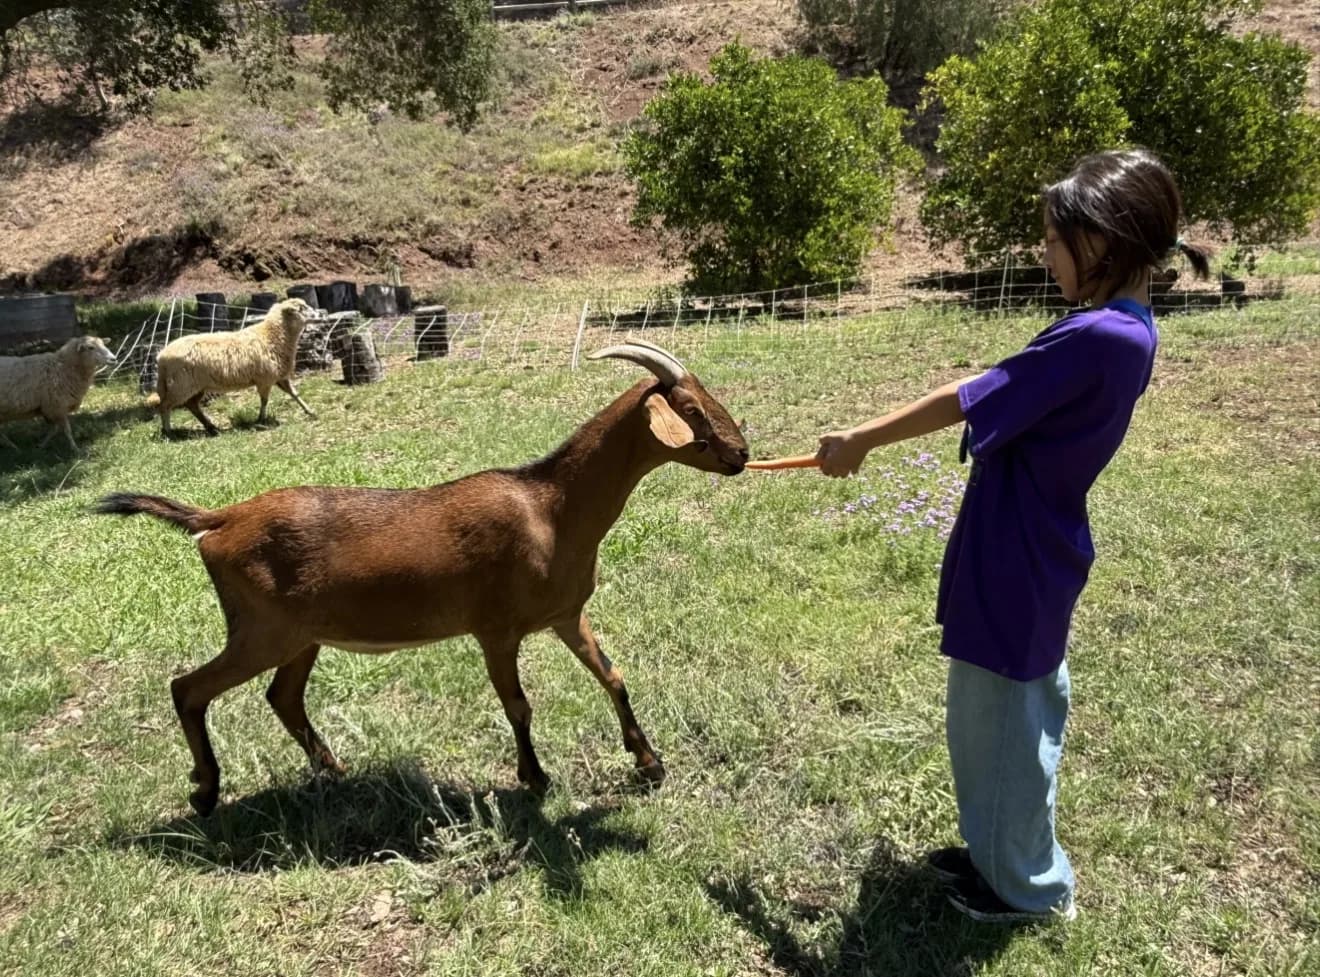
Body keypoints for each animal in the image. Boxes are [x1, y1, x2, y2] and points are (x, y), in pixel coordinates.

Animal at [95, 341, 749, 816]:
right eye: (691, 410)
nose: (741, 453)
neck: (552, 507)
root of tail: (219, 519)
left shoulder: (566, 615)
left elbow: (613, 677)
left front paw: (650, 762)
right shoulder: (496, 630)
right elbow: (518, 705)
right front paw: (535, 777)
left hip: (299, 636)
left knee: (282, 696)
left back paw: (334, 770)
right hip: (261, 632)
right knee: (188, 688)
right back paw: (206, 793)